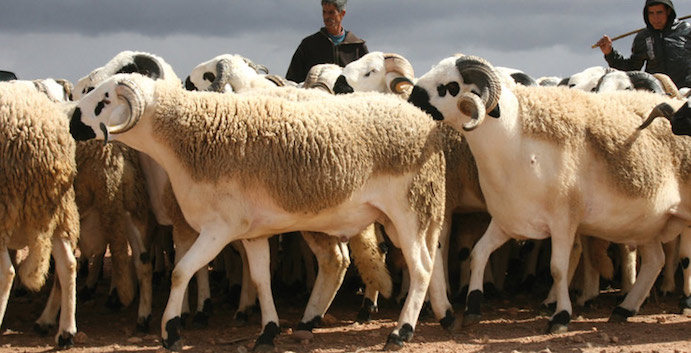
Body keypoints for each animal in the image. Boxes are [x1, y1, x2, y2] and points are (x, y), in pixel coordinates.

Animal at [71, 73, 448, 350]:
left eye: (105, 100)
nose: (73, 121)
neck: (188, 137)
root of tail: (427, 124)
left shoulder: (219, 228)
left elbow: (181, 272)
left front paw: (171, 332)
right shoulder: (251, 232)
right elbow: (260, 279)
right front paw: (267, 331)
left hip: (409, 209)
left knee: (420, 268)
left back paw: (400, 333)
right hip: (409, 213)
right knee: (414, 262)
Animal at [410, 54, 691, 332]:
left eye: (451, 86)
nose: (412, 98)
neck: (514, 140)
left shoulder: (563, 221)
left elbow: (558, 269)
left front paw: (560, 316)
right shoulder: (508, 219)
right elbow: (478, 253)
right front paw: (473, 307)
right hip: (646, 222)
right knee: (655, 260)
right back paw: (625, 308)